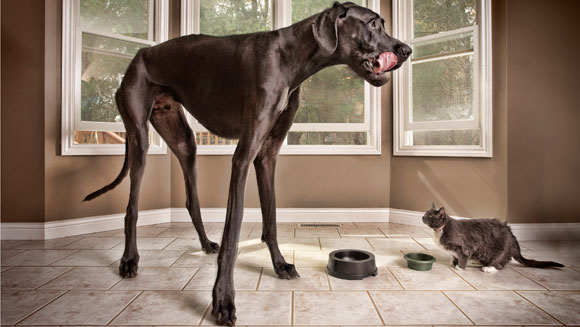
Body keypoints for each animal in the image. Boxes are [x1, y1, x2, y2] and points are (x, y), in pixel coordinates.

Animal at [422, 206, 560, 272]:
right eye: (425, 213)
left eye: (430, 216)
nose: (422, 217)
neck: (441, 230)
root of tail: (512, 235)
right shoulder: (455, 250)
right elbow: (454, 256)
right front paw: (454, 262)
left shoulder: (464, 247)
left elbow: (462, 257)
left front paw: (460, 267)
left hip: (498, 252)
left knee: (501, 264)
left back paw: (488, 268)